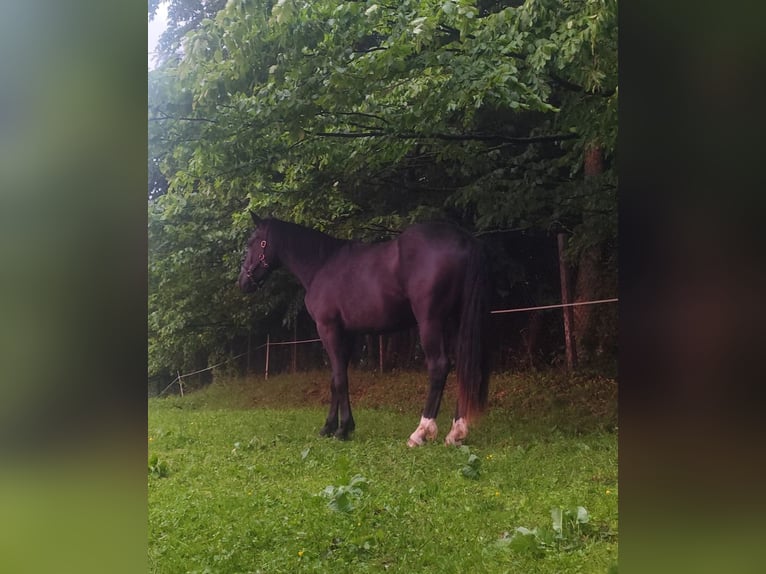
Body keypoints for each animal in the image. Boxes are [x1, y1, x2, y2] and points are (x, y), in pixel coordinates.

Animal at [238, 212, 490, 446]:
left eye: (252, 241)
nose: (242, 282)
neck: (322, 265)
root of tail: (465, 239)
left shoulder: (328, 329)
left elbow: (340, 379)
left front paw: (342, 429)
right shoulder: (348, 334)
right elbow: (336, 379)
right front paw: (330, 427)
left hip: (430, 321)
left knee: (439, 366)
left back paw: (420, 433)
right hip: (456, 321)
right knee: (463, 368)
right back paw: (455, 433)